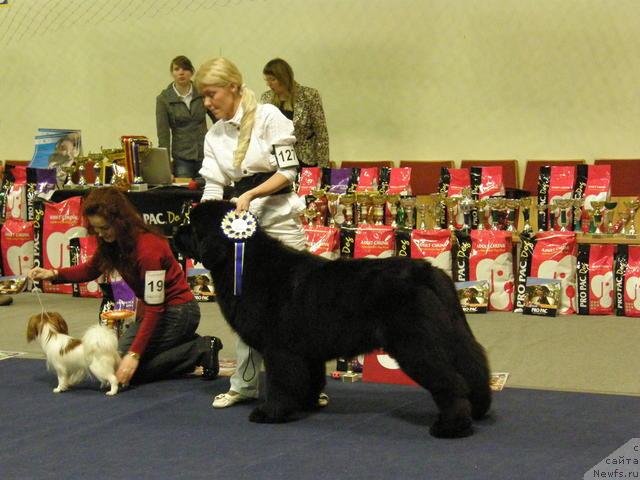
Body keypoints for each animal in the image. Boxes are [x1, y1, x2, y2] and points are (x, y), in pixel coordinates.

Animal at [174, 201, 490, 436]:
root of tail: (429, 272)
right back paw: (479, 409)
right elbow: (310, 379)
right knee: (473, 365)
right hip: (451, 334)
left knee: (450, 381)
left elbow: (280, 383)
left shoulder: (280, 348)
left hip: (415, 344)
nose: (174, 232)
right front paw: (306, 404)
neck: (243, 263)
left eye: (192, 226)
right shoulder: (305, 351)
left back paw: (451, 426)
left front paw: (271, 412)